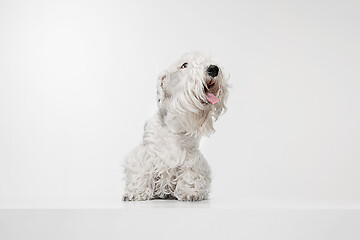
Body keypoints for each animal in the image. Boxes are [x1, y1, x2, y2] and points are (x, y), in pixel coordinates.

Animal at [123, 52, 228, 201]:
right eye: (184, 65)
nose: (213, 69)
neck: (174, 127)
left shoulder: (193, 158)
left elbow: (191, 174)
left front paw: (190, 192)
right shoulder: (145, 154)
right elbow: (141, 172)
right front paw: (136, 192)